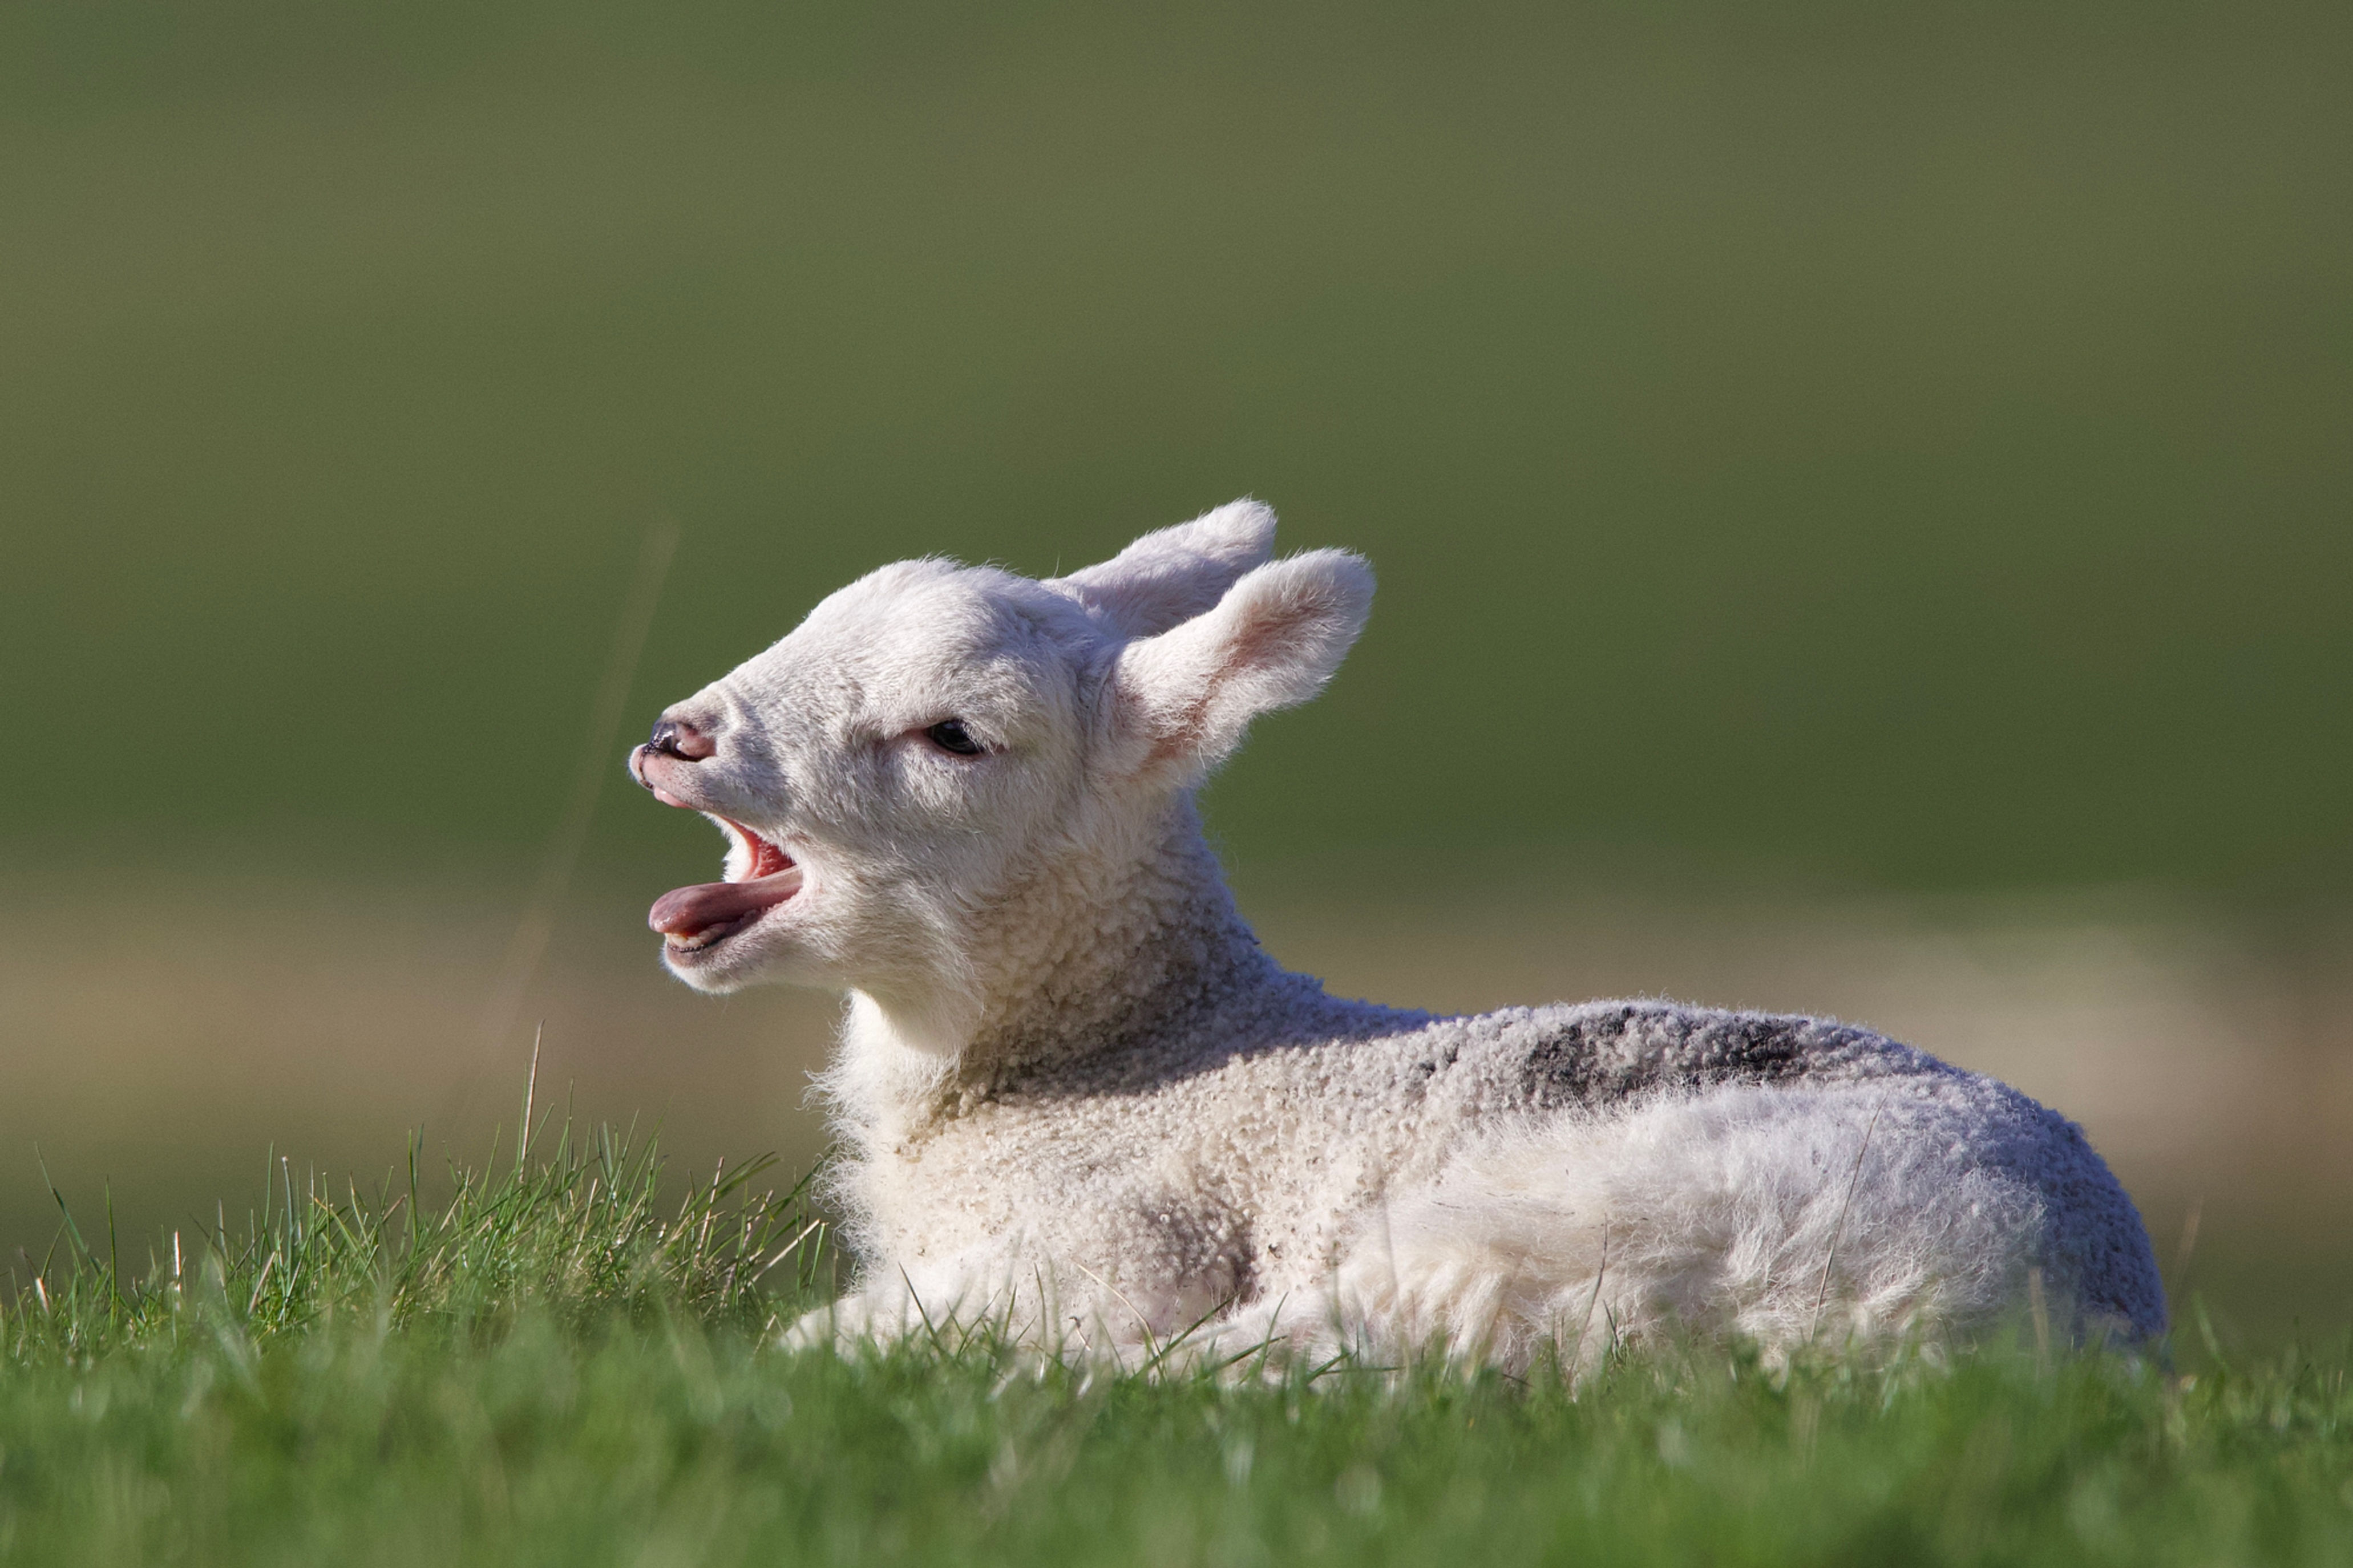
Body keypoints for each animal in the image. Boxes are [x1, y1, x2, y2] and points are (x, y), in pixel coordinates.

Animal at [629, 500, 2166, 1369]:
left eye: (954, 735)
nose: (674, 738)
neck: (1130, 1050)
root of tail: (2078, 1306)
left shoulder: (1128, 1232)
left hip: (1575, 1217)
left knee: (1286, 1358)